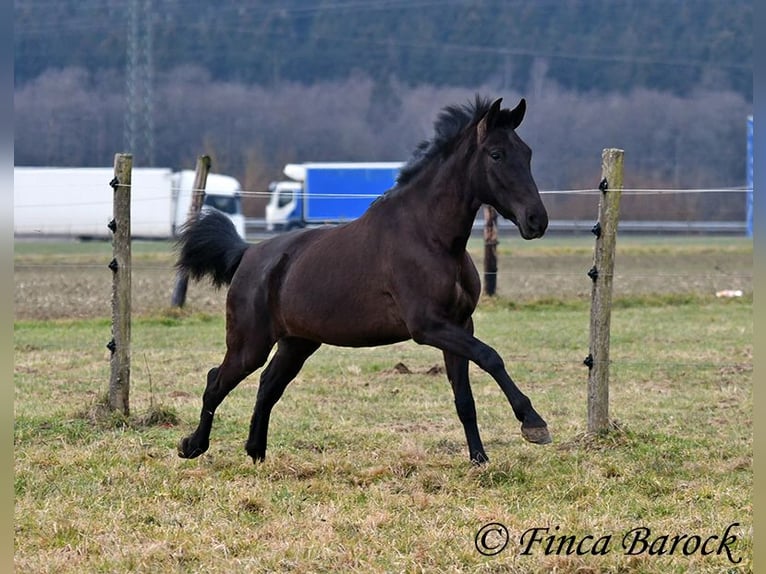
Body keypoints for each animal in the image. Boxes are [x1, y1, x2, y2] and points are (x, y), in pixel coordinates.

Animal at [178, 97, 552, 466]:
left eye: (528, 153)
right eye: (496, 154)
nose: (537, 220)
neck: (429, 237)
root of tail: (248, 253)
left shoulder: (460, 323)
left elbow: (465, 399)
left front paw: (480, 460)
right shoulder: (429, 326)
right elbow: (491, 357)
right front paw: (533, 424)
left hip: (297, 343)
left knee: (268, 385)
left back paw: (255, 451)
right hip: (250, 344)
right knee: (217, 381)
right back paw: (192, 446)